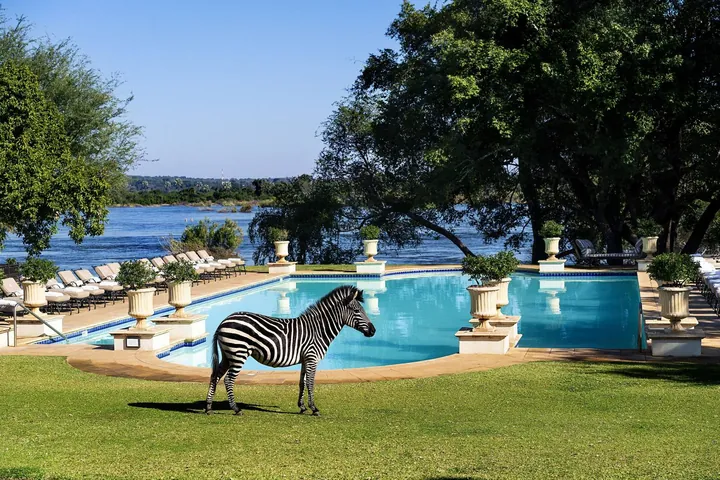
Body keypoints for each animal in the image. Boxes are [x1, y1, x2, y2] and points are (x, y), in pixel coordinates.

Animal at [205, 285, 376, 416]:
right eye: (357, 311)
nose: (373, 331)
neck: (319, 329)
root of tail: (223, 321)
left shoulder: (305, 359)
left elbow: (302, 382)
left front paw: (302, 407)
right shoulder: (312, 358)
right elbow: (311, 383)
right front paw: (314, 408)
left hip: (228, 355)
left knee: (215, 376)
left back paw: (208, 407)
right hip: (238, 353)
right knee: (228, 379)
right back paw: (236, 409)